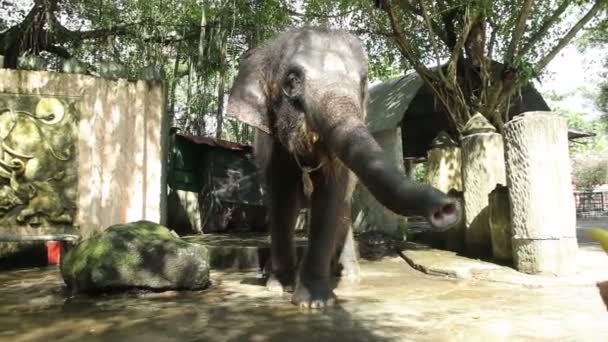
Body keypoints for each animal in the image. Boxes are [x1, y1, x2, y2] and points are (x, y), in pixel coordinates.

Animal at [227, 28, 460, 308]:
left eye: (363, 83)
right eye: (292, 81)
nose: (447, 208)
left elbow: (330, 195)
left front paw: (315, 301)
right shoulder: (272, 143)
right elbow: (283, 197)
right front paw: (280, 287)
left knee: (344, 209)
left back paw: (347, 276)